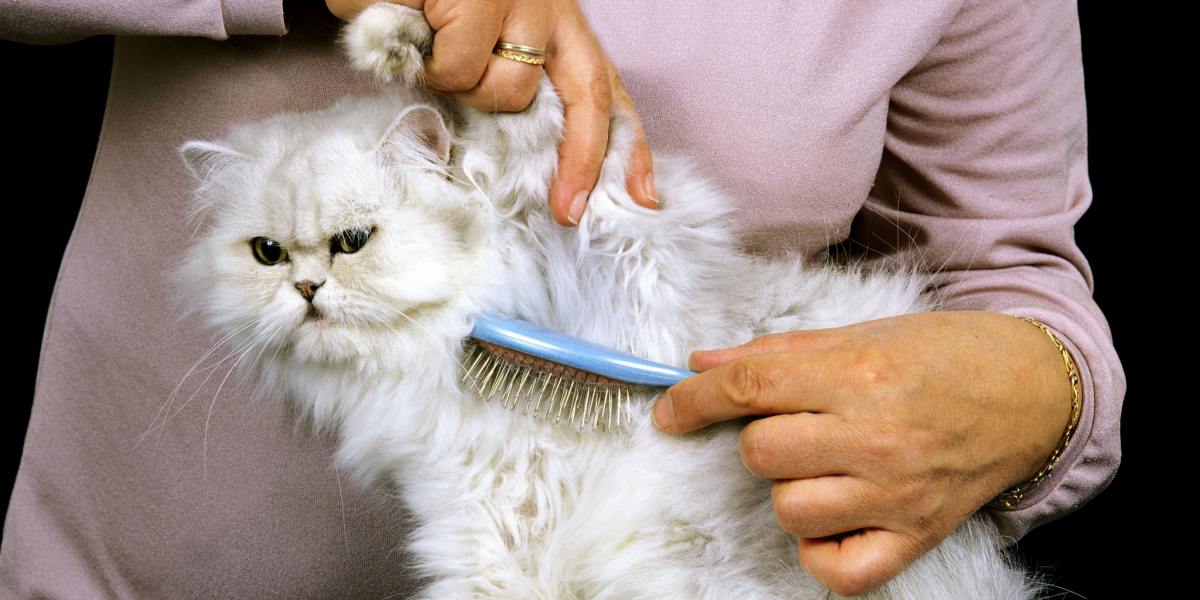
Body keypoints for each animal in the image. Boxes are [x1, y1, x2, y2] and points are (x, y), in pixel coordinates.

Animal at [175, 4, 1041, 600]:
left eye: (353, 242)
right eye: (267, 253)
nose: (305, 288)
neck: (445, 347)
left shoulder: (621, 240)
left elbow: (529, 115)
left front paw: (398, 36)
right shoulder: (481, 538)